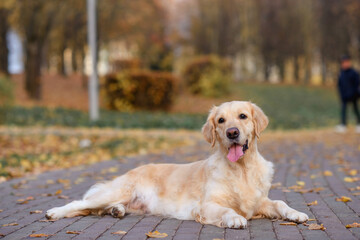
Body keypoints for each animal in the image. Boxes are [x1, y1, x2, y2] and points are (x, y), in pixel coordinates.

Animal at [46, 100, 308, 228]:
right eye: (221, 120)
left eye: (242, 116)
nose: (232, 133)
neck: (241, 169)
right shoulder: (206, 206)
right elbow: (227, 210)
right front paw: (234, 218)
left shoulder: (258, 201)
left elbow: (280, 203)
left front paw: (296, 214)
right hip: (118, 190)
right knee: (80, 203)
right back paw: (54, 212)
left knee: (94, 208)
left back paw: (116, 210)